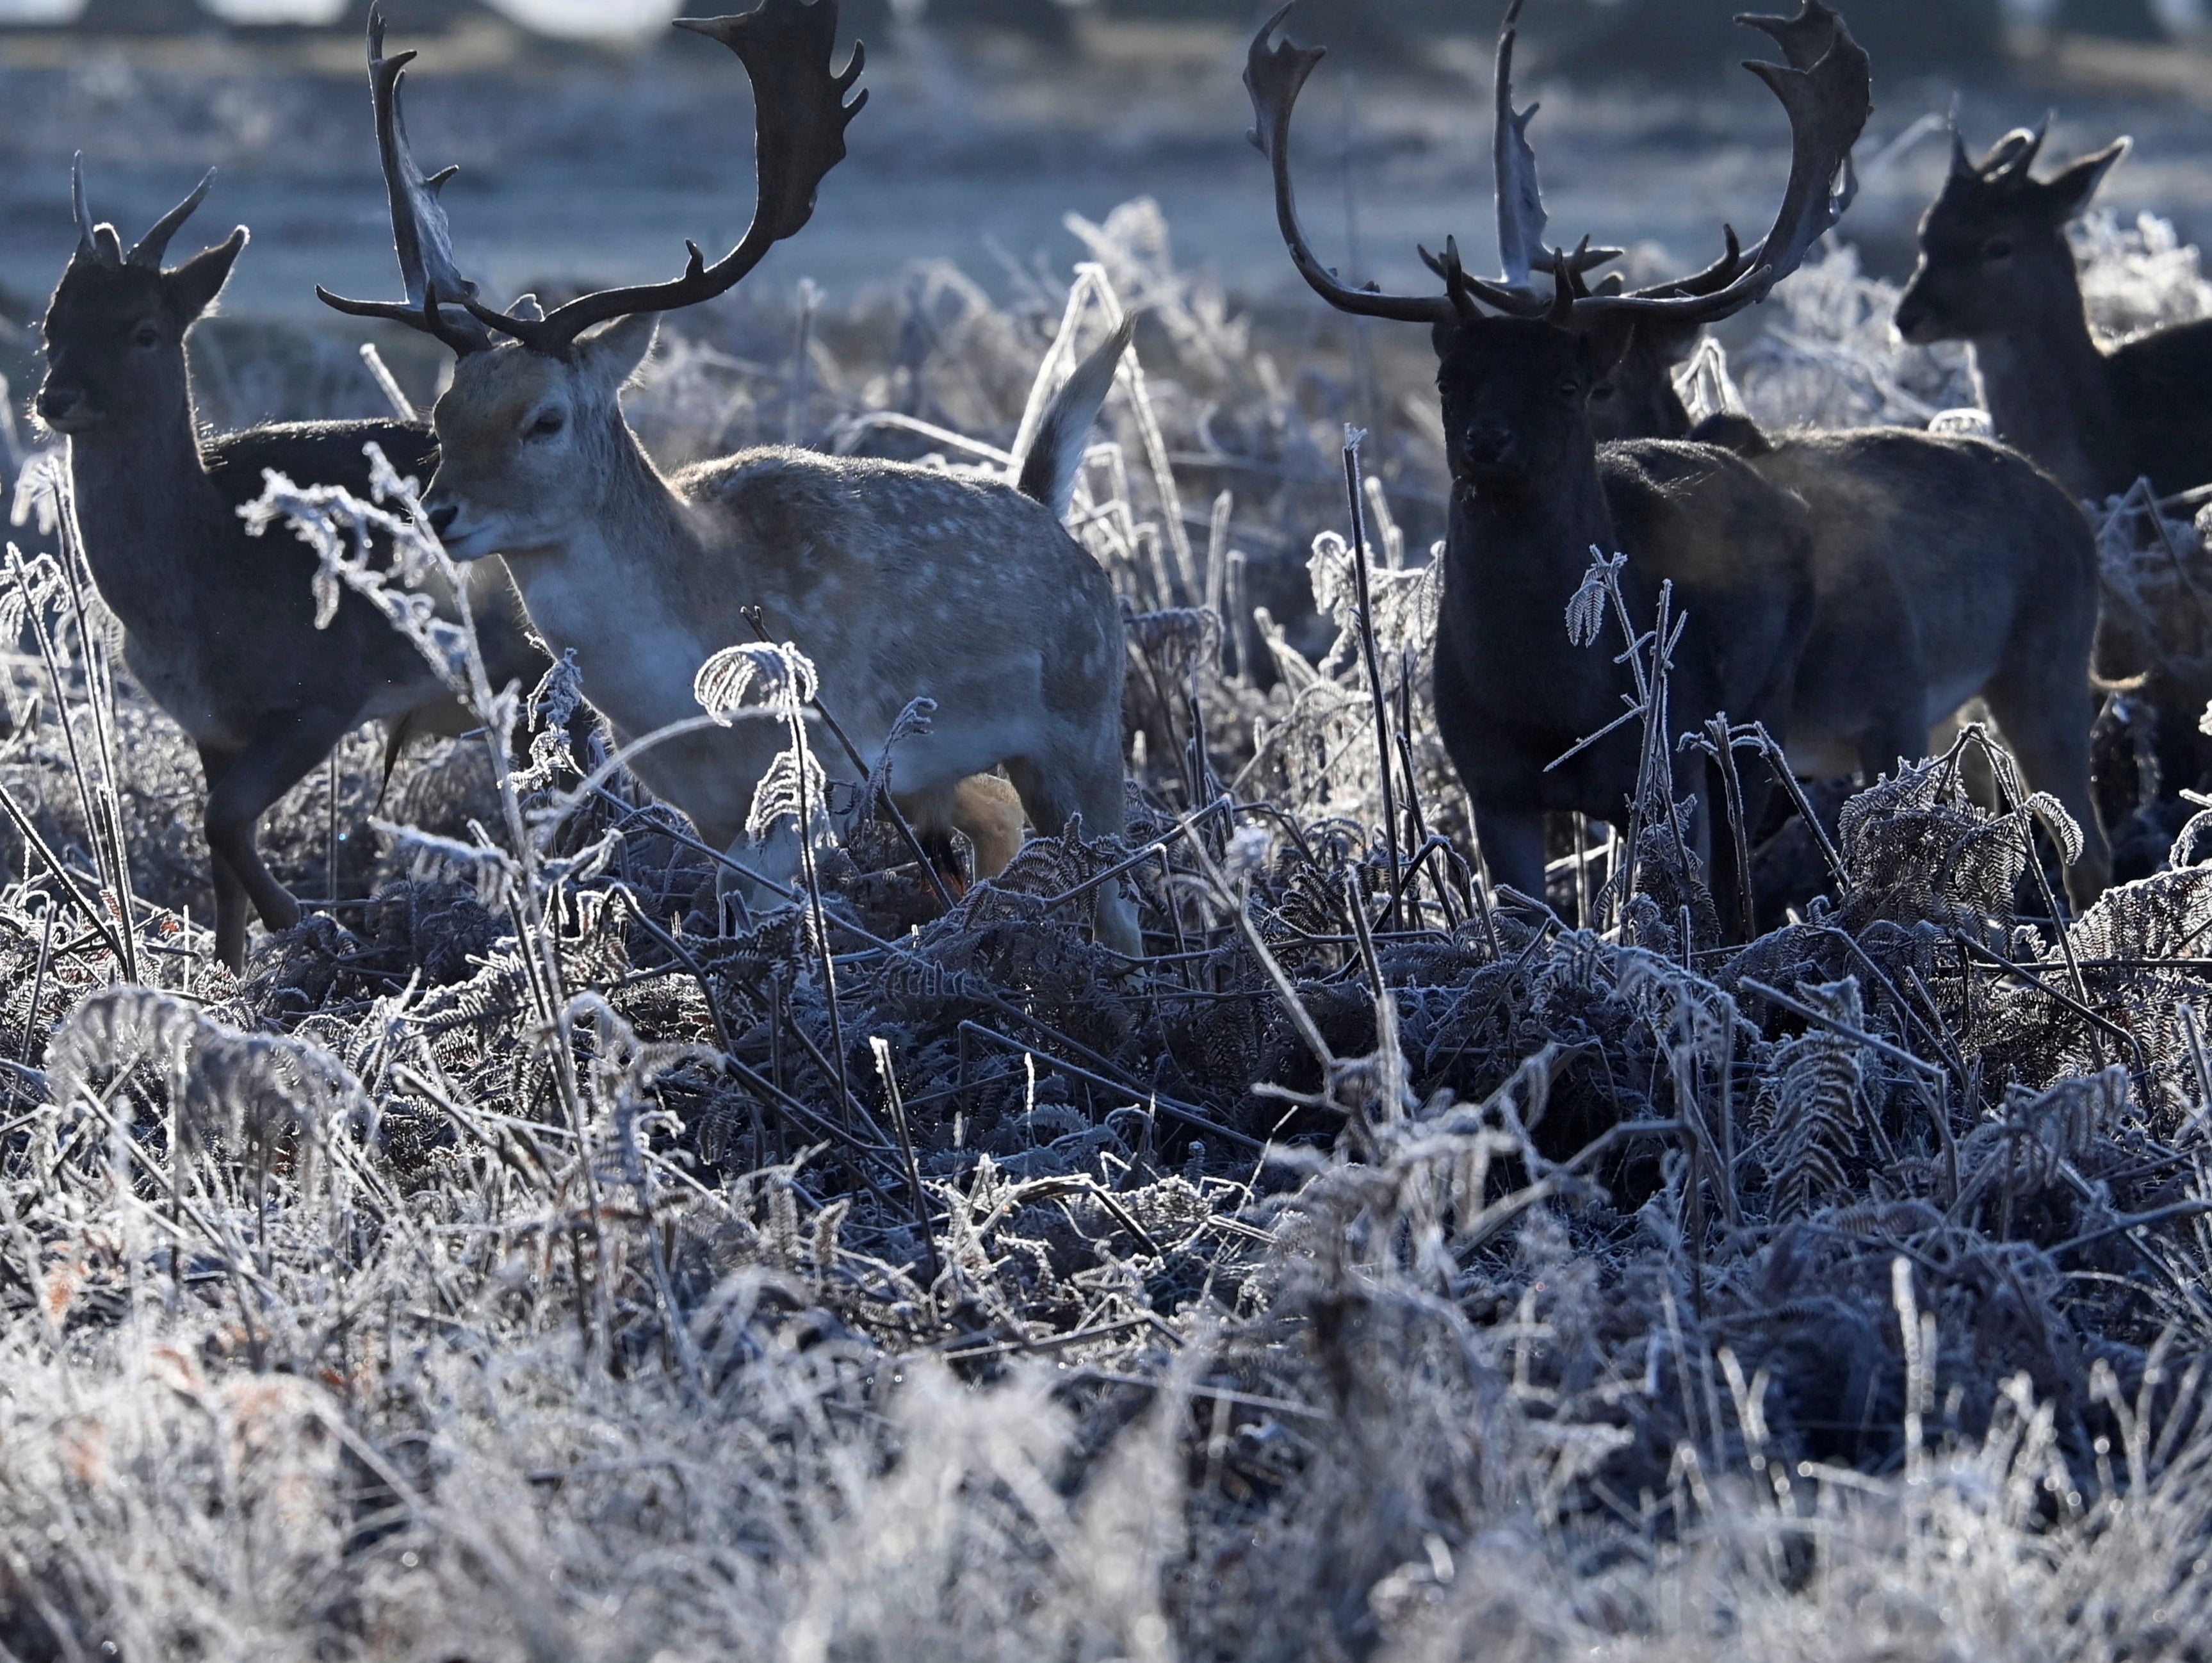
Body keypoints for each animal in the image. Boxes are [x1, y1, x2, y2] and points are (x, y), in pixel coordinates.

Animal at [35, 162, 553, 969]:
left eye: (144, 330)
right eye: (51, 326)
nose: (54, 397)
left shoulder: (323, 693)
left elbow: (221, 820)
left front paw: (308, 924)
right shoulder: (207, 724)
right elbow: (218, 855)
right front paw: (227, 970)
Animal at [320, 0, 1150, 955]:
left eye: (545, 419)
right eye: (443, 413)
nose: (439, 512)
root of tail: (1047, 509)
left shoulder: (812, 780)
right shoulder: (708, 812)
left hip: (1087, 727)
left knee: (1121, 899)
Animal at [1256, 0, 1893, 937]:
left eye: (1566, 381)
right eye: (1449, 378)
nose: (1486, 442)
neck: (1547, 706)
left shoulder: (1661, 765)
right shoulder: (1491, 785)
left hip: (1755, 711)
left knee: (1741, 852)